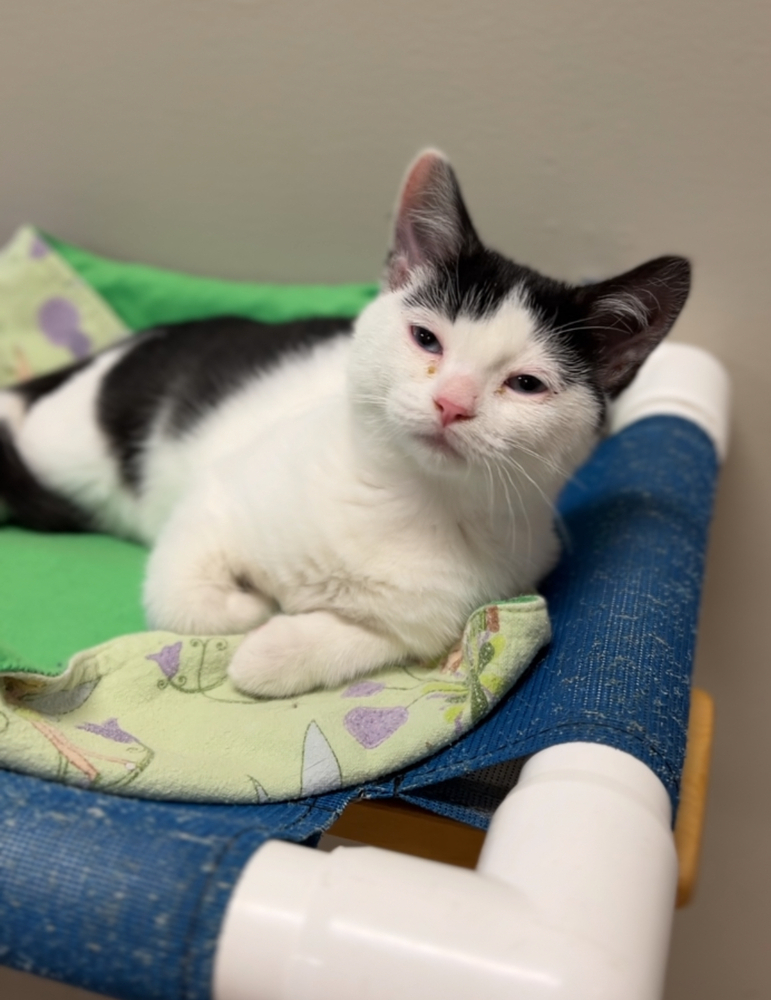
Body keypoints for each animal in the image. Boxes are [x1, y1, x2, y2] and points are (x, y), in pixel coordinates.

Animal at [0, 150, 692, 696]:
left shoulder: (463, 602)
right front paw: (248, 607)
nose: (452, 404)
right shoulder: (214, 499)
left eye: (526, 384)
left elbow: (372, 639)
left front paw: (274, 651)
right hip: (68, 443)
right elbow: (185, 597)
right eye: (425, 339)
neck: (405, 500)